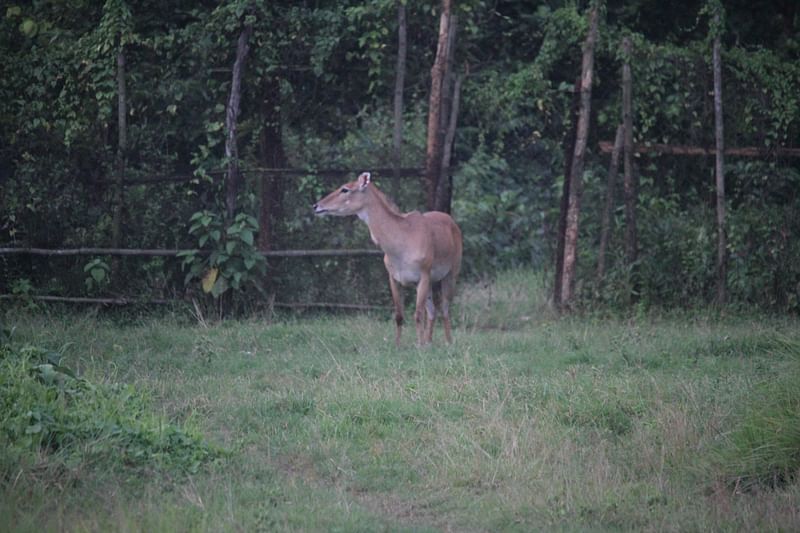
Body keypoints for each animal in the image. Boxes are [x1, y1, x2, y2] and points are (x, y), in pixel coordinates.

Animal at [314, 170, 462, 344]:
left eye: (345, 189)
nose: (316, 206)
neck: (400, 246)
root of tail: (453, 222)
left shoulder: (424, 274)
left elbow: (418, 315)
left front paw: (419, 345)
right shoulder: (394, 278)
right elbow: (399, 315)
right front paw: (398, 344)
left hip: (452, 272)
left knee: (444, 308)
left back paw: (448, 342)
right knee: (433, 310)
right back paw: (429, 342)